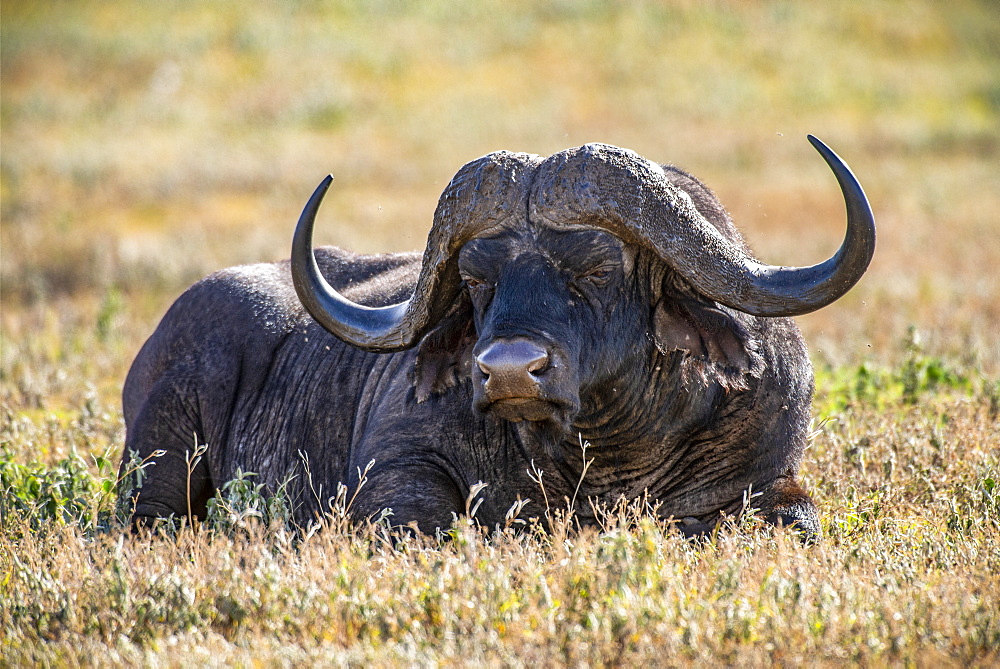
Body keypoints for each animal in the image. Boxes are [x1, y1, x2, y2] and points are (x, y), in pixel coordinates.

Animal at [119, 134, 876, 536]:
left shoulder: (770, 477)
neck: (604, 460)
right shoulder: (396, 472)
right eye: (477, 277)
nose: (510, 371)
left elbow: (797, 518)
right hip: (158, 463)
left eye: (597, 268)